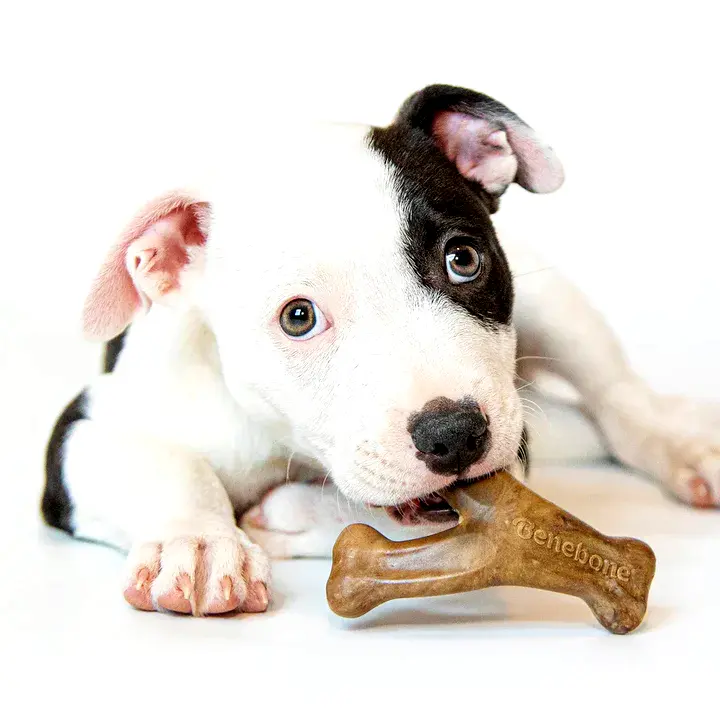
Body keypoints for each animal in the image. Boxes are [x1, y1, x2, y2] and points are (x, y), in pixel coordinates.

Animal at [40, 84, 720, 612]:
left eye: (463, 259)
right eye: (298, 318)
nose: (455, 434)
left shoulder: (512, 442)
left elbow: (376, 516)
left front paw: (289, 514)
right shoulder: (84, 432)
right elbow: (169, 465)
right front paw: (200, 543)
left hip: (550, 302)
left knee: (618, 398)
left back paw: (685, 448)